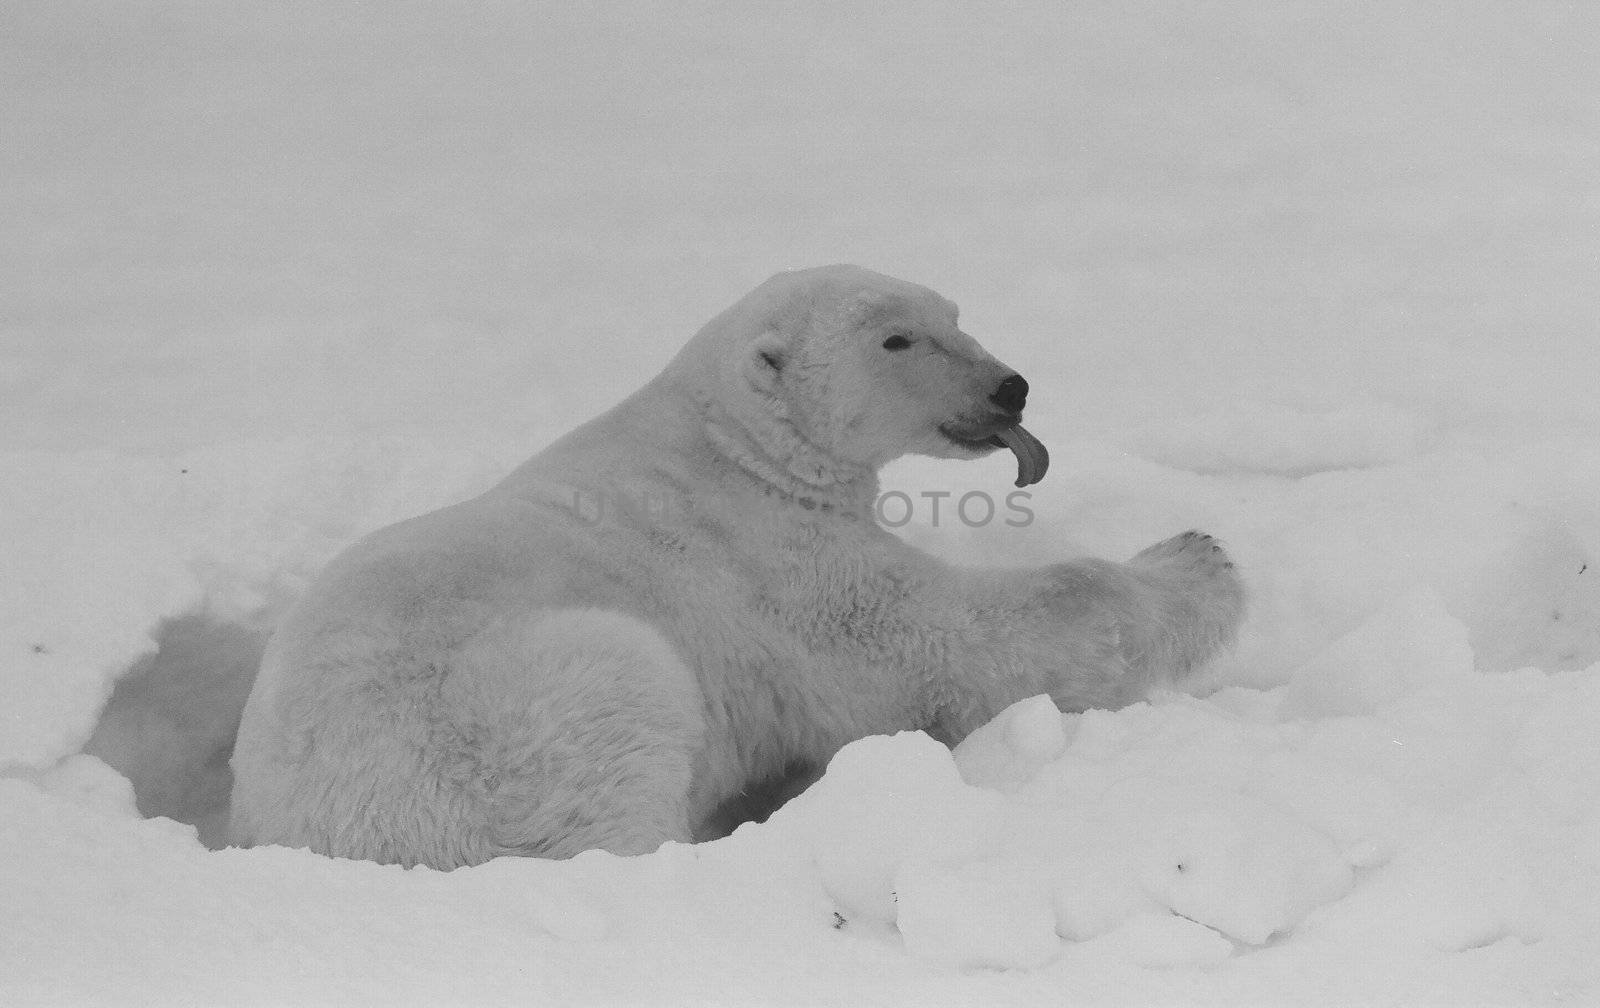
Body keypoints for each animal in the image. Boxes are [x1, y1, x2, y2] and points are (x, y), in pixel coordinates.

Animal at [232, 267, 1241, 870]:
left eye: (955, 315)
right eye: (895, 339)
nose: (1010, 387)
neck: (733, 444)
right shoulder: (773, 567)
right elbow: (950, 641)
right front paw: (1200, 558)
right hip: (490, 725)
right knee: (613, 721)